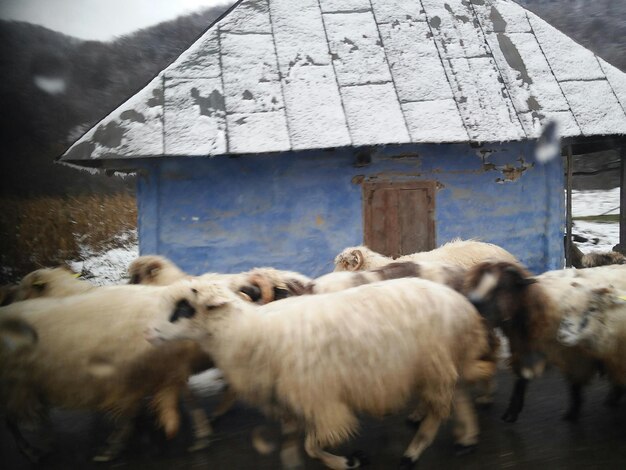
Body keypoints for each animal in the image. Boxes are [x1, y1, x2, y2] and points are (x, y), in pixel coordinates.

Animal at [146, 278, 492, 468]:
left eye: (184, 308)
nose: (149, 332)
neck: (251, 332)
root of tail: (463, 305)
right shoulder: (292, 402)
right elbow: (292, 444)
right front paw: (294, 460)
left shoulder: (322, 400)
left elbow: (313, 446)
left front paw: (349, 462)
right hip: (446, 363)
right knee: (459, 396)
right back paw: (468, 438)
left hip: (435, 364)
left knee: (439, 411)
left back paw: (413, 453)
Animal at [460, 260, 604, 422]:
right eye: (477, 282)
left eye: (501, 286)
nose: (472, 303)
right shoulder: (523, 347)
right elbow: (522, 378)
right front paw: (512, 411)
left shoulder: (574, 354)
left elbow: (575, 383)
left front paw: (573, 412)